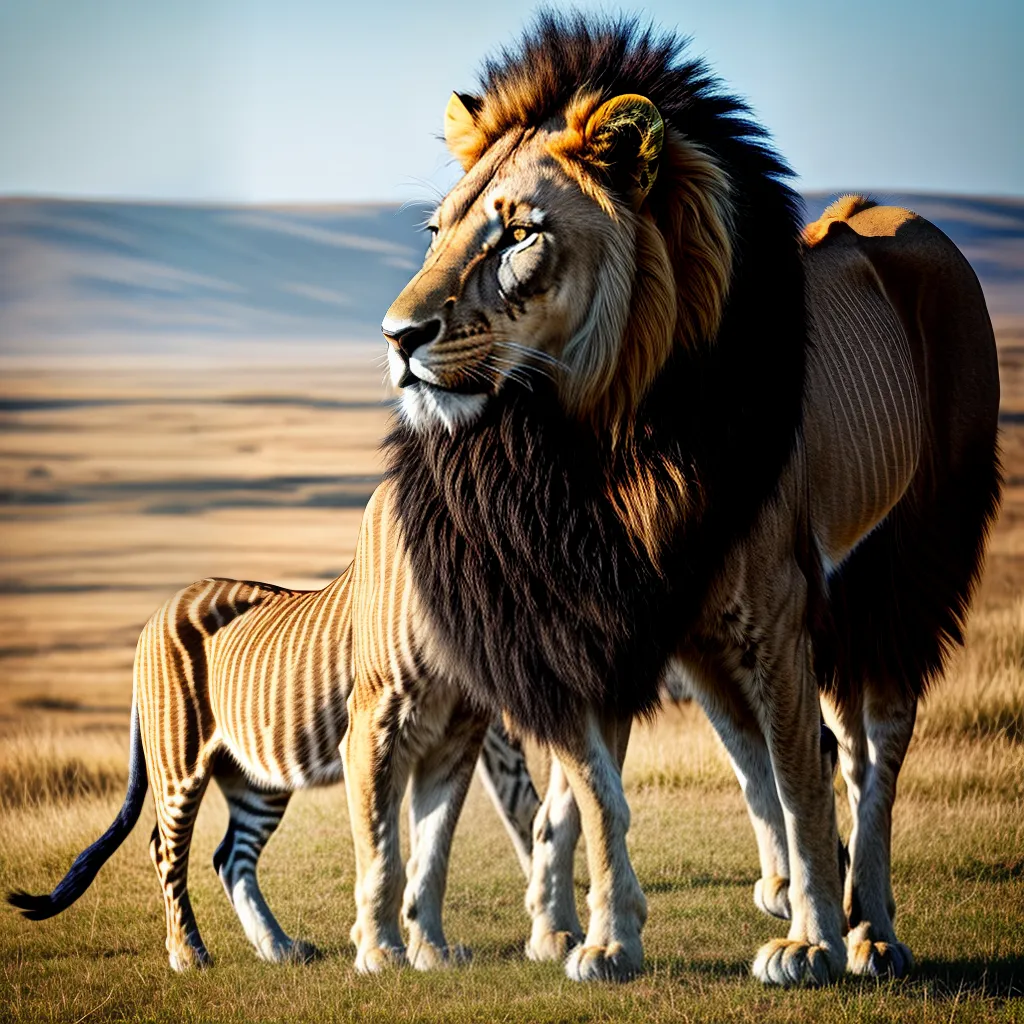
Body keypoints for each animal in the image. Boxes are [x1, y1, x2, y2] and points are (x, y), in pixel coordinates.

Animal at [8, 485, 540, 971]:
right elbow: (383, 849)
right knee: (166, 850)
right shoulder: (374, 728)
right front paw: (383, 953)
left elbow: (486, 822)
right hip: (179, 764)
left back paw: (278, 947)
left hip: (258, 777)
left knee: (231, 857)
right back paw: (189, 954)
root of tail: (157, 612)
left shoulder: (470, 731)